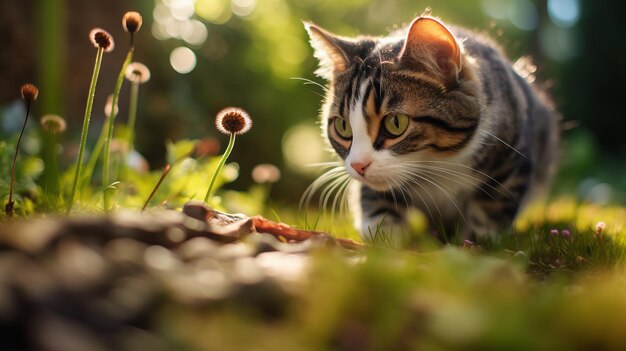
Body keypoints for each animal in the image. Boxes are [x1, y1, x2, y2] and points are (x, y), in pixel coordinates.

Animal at [302, 14, 556, 245]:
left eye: (395, 123)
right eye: (343, 126)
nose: (357, 165)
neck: (437, 167)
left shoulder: (510, 157)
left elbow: (490, 209)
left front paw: (474, 244)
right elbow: (379, 204)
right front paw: (385, 240)